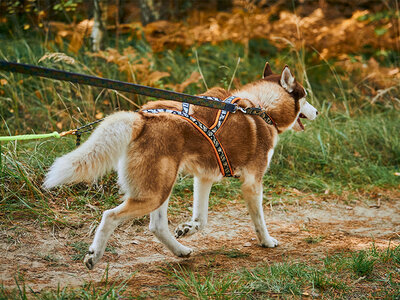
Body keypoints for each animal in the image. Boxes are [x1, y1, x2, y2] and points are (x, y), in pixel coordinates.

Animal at [43, 62, 318, 270]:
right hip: (155, 193)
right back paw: (94, 255)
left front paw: (188, 228)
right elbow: (259, 220)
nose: (317, 112)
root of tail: (142, 117)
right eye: (305, 96)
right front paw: (267, 242)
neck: (262, 108)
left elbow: (201, 219)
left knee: (156, 226)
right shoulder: (252, 182)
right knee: (109, 216)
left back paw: (181, 251)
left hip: (162, 187)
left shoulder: (204, 178)